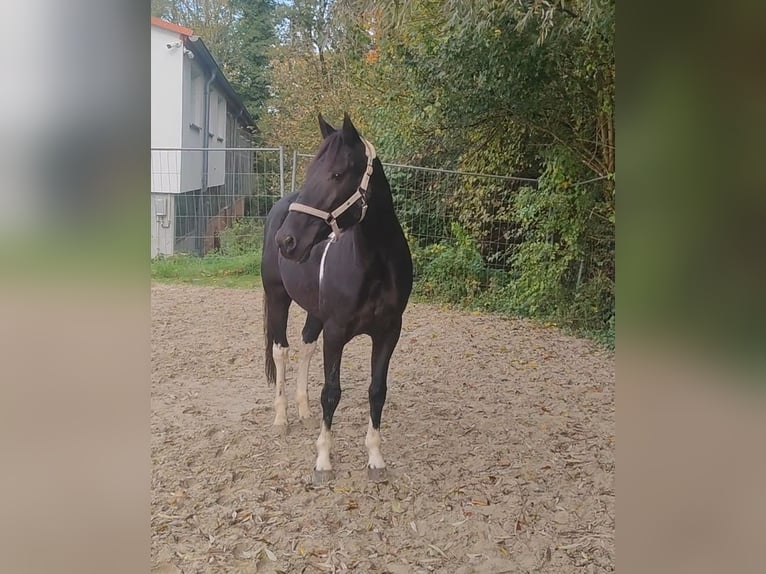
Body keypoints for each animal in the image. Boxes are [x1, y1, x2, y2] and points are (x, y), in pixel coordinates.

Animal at [260, 113, 414, 486]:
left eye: (338, 174)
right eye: (310, 172)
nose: (287, 241)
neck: (374, 266)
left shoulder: (389, 332)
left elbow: (377, 390)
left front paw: (375, 458)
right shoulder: (336, 332)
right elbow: (331, 392)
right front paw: (323, 462)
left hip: (314, 312)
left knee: (305, 345)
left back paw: (303, 411)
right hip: (277, 297)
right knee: (281, 350)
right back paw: (281, 418)